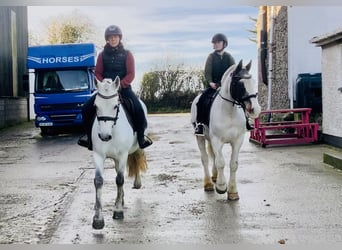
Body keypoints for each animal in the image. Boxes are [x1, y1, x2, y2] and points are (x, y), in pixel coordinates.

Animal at [191, 59, 260, 200]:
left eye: (253, 81)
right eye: (240, 84)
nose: (255, 110)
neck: (230, 112)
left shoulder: (237, 140)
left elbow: (233, 164)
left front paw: (233, 191)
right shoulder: (217, 140)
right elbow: (221, 162)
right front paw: (222, 187)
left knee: (213, 157)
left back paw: (215, 176)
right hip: (200, 137)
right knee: (205, 159)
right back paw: (208, 184)